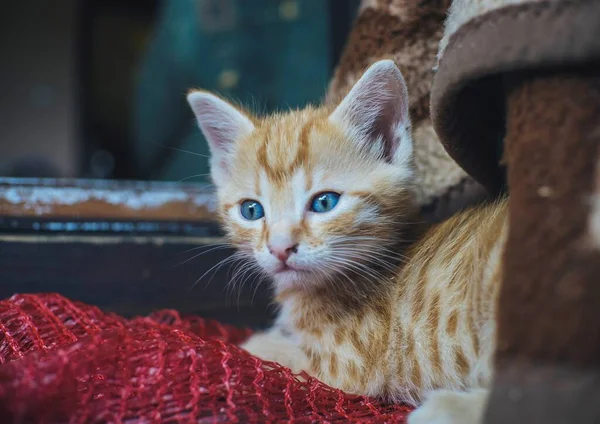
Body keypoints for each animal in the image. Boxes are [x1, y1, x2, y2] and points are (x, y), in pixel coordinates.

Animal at [186, 60, 506, 424]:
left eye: (325, 202)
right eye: (251, 210)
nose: (280, 248)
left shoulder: (347, 365)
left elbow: (270, 354)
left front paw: (242, 346)